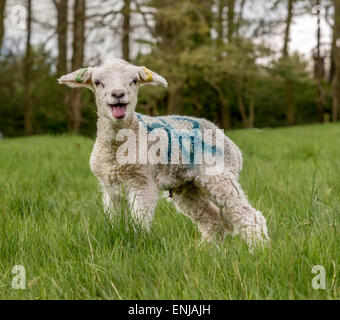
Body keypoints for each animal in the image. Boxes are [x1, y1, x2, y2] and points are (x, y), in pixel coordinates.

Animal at [58, 58, 270, 248]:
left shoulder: (143, 182)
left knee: (248, 215)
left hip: (219, 175)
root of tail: (232, 145)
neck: (118, 147)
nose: (118, 94)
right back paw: (208, 251)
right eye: (97, 82)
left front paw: (138, 242)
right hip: (187, 186)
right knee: (213, 219)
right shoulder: (110, 188)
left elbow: (140, 221)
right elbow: (115, 221)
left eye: (134, 80)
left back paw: (258, 250)